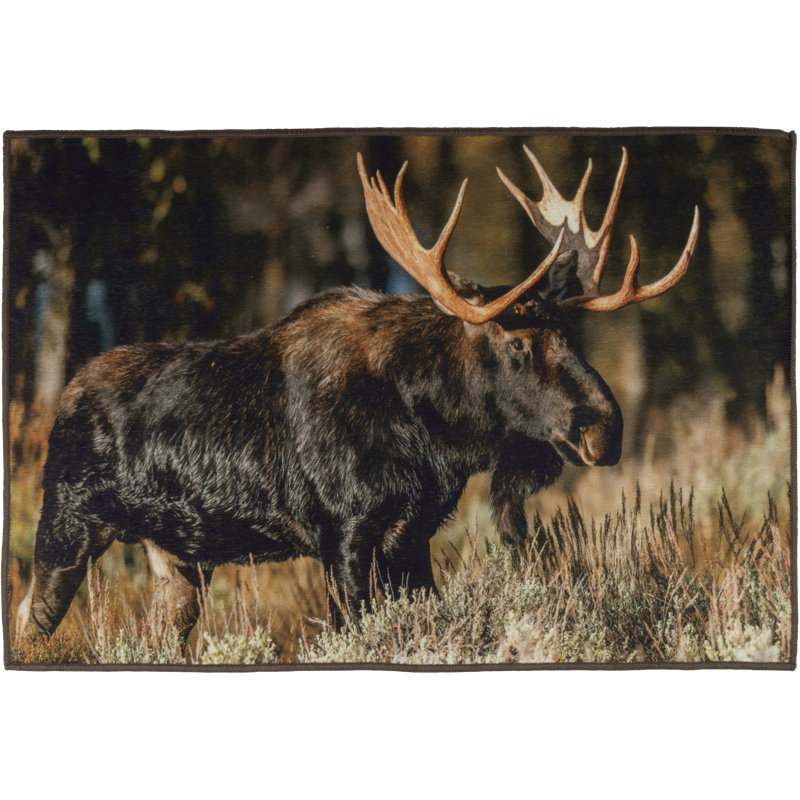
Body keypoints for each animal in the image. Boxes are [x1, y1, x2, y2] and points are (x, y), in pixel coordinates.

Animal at [15, 145, 698, 644]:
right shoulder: (342, 532)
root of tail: (63, 400)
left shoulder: (413, 532)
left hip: (176, 560)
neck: (432, 437)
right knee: (28, 620)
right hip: (68, 525)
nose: (604, 428)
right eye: (516, 342)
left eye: (570, 334)